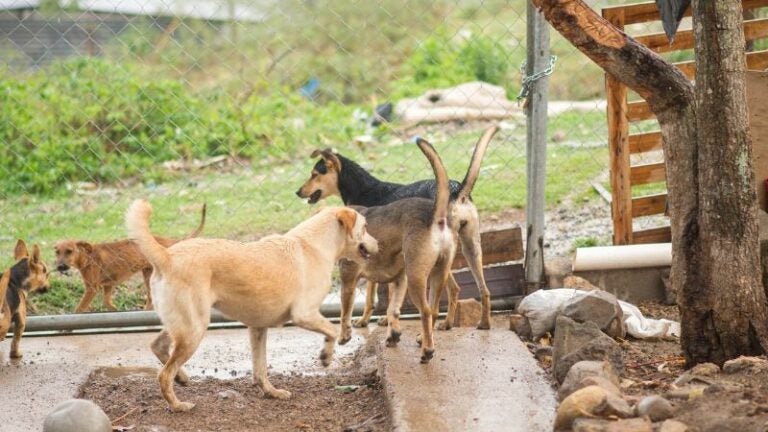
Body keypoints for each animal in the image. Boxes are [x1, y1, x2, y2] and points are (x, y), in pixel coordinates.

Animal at [54, 202, 207, 310]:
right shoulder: (108, 285)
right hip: (148, 275)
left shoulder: (92, 289)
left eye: (69, 251)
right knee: (151, 300)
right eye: (56, 251)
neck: (88, 257)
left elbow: (79, 309)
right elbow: (108, 303)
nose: (60, 267)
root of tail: (167, 241)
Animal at [126, 199, 378, 412]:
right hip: (194, 329)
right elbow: (332, 330)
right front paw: (326, 354)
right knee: (163, 374)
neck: (312, 246)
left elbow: (260, 369)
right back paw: (178, 405)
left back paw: (182, 377)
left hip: (184, 324)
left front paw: (271, 392)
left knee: (158, 347)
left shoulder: (258, 328)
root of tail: (166, 256)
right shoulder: (304, 314)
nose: (379, 244)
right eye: (365, 227)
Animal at [296, 126, 496, 330]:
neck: (362, 189)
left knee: (449, 292)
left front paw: (366, 320)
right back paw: (477, 323)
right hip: (470, 248)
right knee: (479, 290)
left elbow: (371, 295)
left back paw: (442, 324)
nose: (297, 192)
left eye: (314, 174)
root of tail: (457, 190)